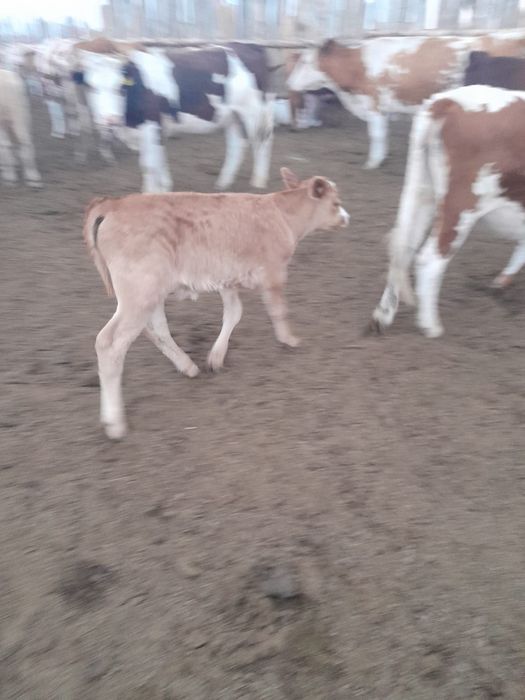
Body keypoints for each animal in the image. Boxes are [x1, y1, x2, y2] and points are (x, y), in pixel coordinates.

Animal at [83, 168, 350, 438]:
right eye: (335, 203)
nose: (346, 218)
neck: (282, 213)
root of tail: (113, 204)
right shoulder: (274, 273)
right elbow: (278, 310)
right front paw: (289, 339)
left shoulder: (227, 279)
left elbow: (234, 313)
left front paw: (216, 357)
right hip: (140, 294)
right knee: (109, 343)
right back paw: (114, 423)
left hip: (149, 294)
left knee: (156, 330)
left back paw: (187, 366)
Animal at [287, 31, 525, 169]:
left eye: (305, 62)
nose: (289, 83)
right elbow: (382, 134)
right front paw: (381, 158)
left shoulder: (374, 104)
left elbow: (376, 134)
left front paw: (372, 163)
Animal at [370, 85, 525, 338]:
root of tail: (446, 101)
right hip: (461, 207)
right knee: (429, 259)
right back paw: (431, 326)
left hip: (425, 195)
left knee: (404, 250)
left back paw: (382, 316)